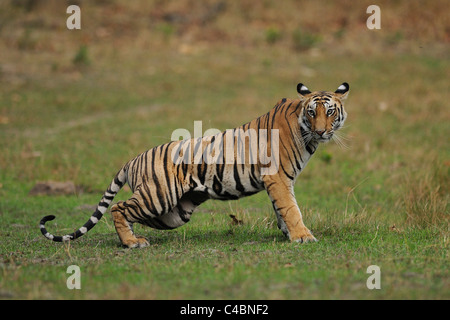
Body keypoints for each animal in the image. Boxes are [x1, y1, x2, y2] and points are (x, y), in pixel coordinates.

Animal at [39, 82, 348, 248]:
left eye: (330, 112)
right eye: (313, 112)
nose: (322, 131)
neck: (304, 130)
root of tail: (133, 159)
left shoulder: (282, 181)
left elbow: (283, 209)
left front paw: (288, 233)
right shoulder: (278, 178)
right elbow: (291, 208)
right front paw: (302, 237)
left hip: (173, 213)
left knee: (128, 212)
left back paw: (133, 238)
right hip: (157, 197)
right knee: (119, 207)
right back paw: (132, 243)